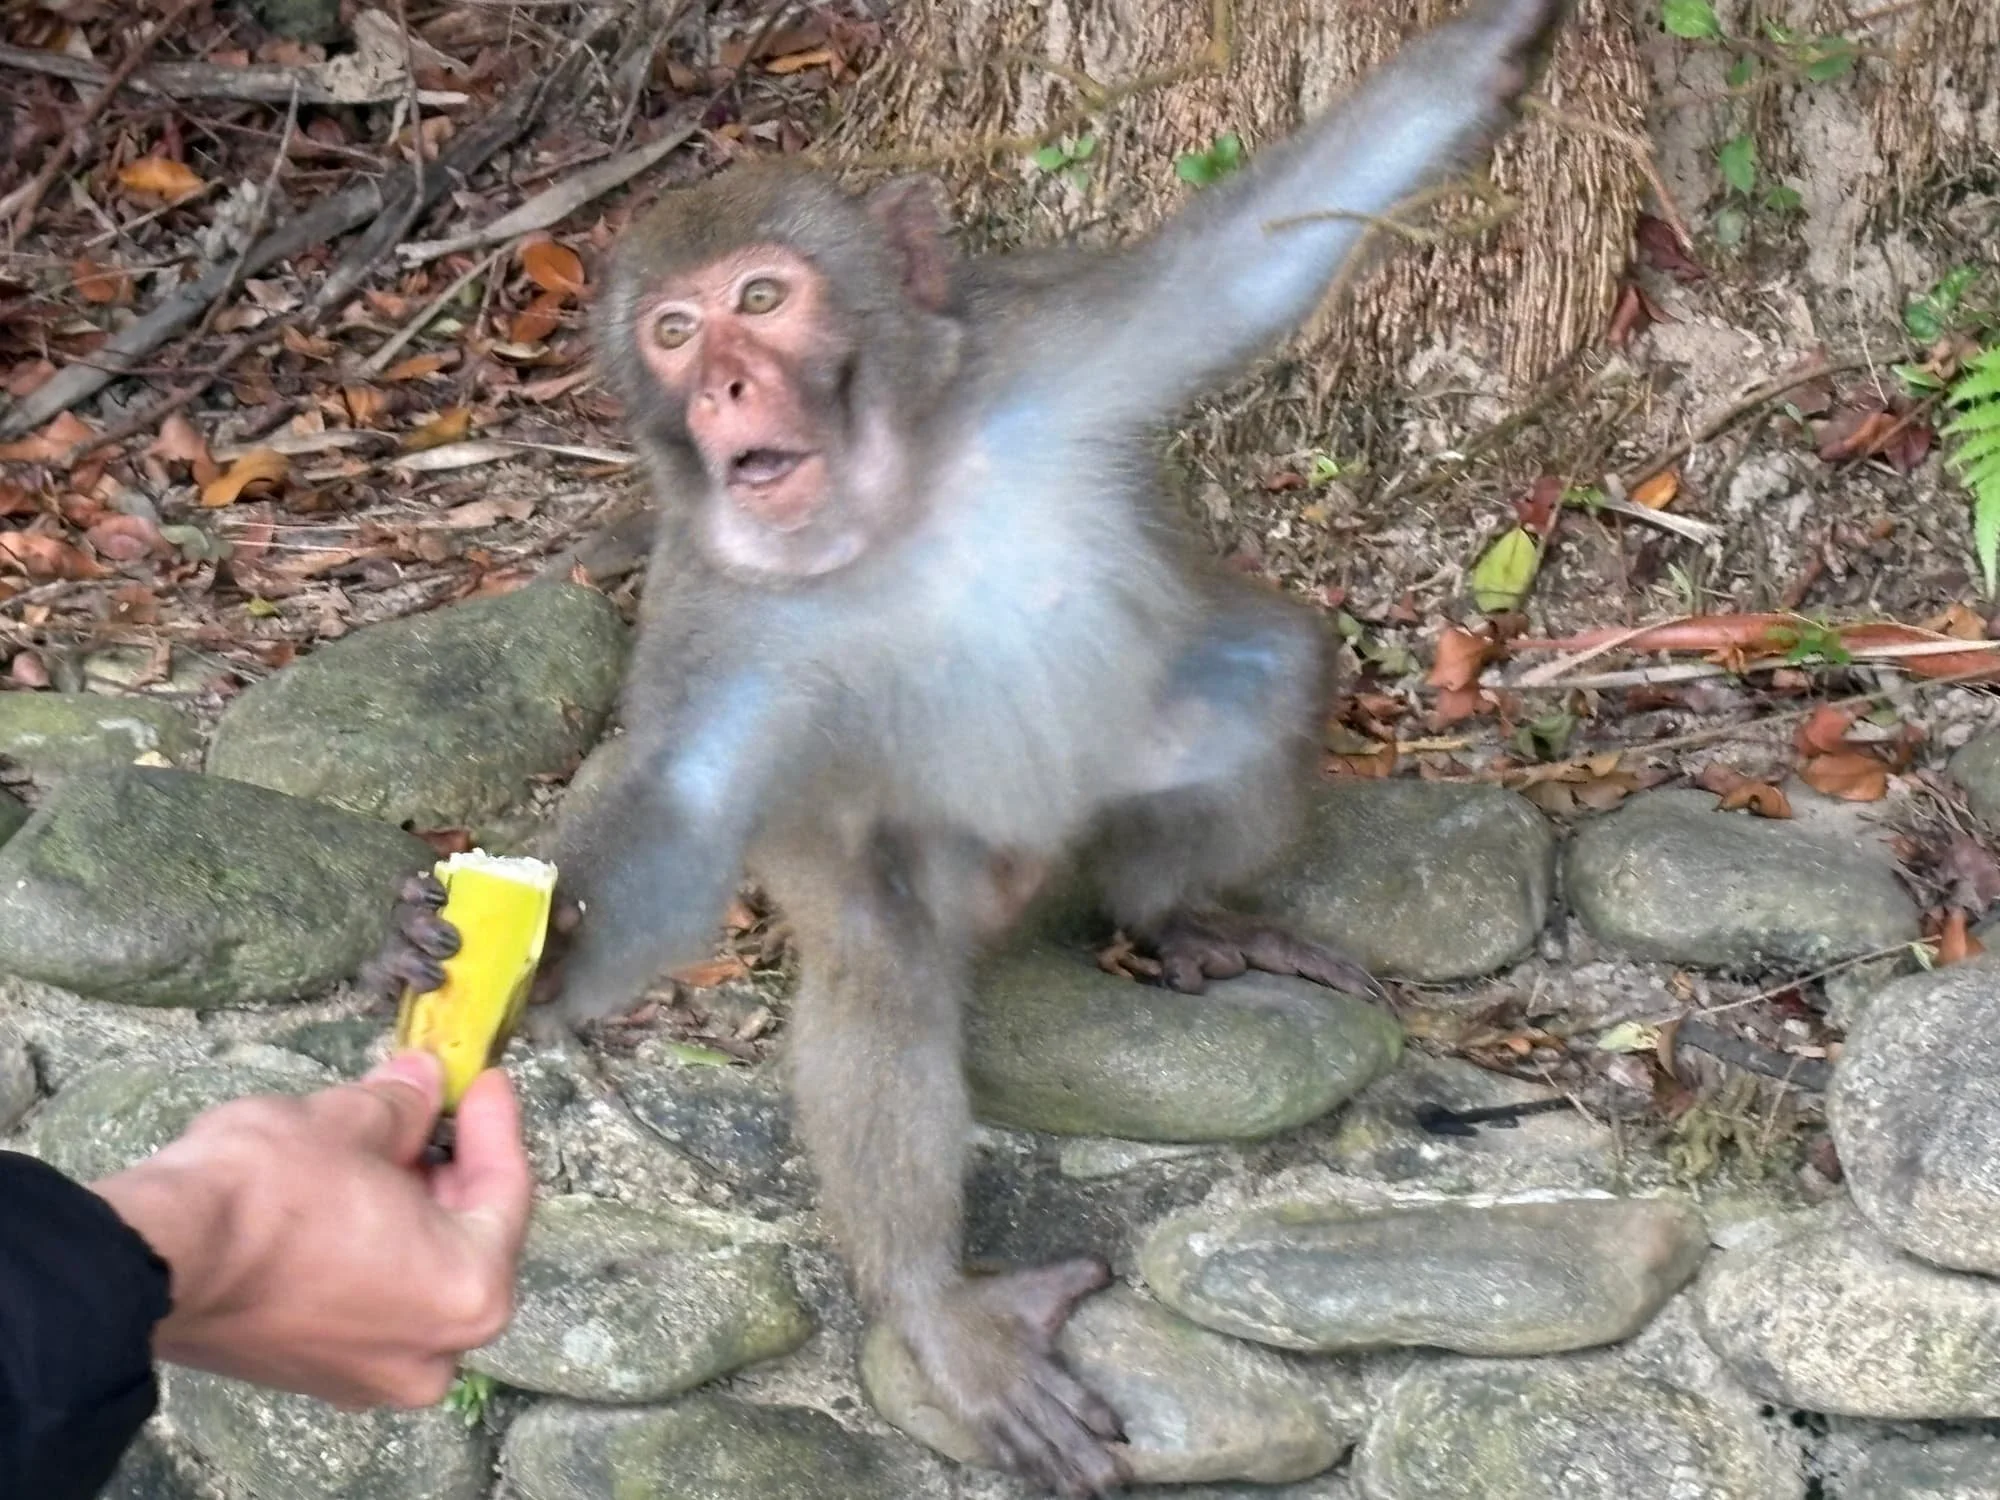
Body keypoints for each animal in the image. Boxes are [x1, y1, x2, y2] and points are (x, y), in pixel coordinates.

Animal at [365, 2, 1565, 1492]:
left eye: (762, 301)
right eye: (674, 332)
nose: (725, 388)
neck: (888, 501)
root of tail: (1028, 864)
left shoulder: (1043, 342)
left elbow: (1245, 259)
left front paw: (1497, 54)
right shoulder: (715, 602)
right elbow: (684, 806)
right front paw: (480, 952)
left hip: (1115, 764)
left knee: (1271, 672)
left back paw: (1177, 917)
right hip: (893, 851)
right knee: (877, 959)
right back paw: (936, 1307)